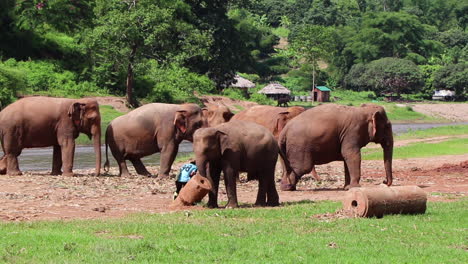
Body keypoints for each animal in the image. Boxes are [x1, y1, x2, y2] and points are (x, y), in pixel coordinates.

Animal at [104, 103, 232, 177]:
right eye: (198, 124)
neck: (179, 107)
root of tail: (107, 126)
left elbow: (173, 150)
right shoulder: (166, 127)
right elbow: (169, 149)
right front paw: (163, 177)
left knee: (133, 157)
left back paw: (147, 175)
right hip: (115, 141)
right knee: (120, 157)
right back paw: (127, 175)